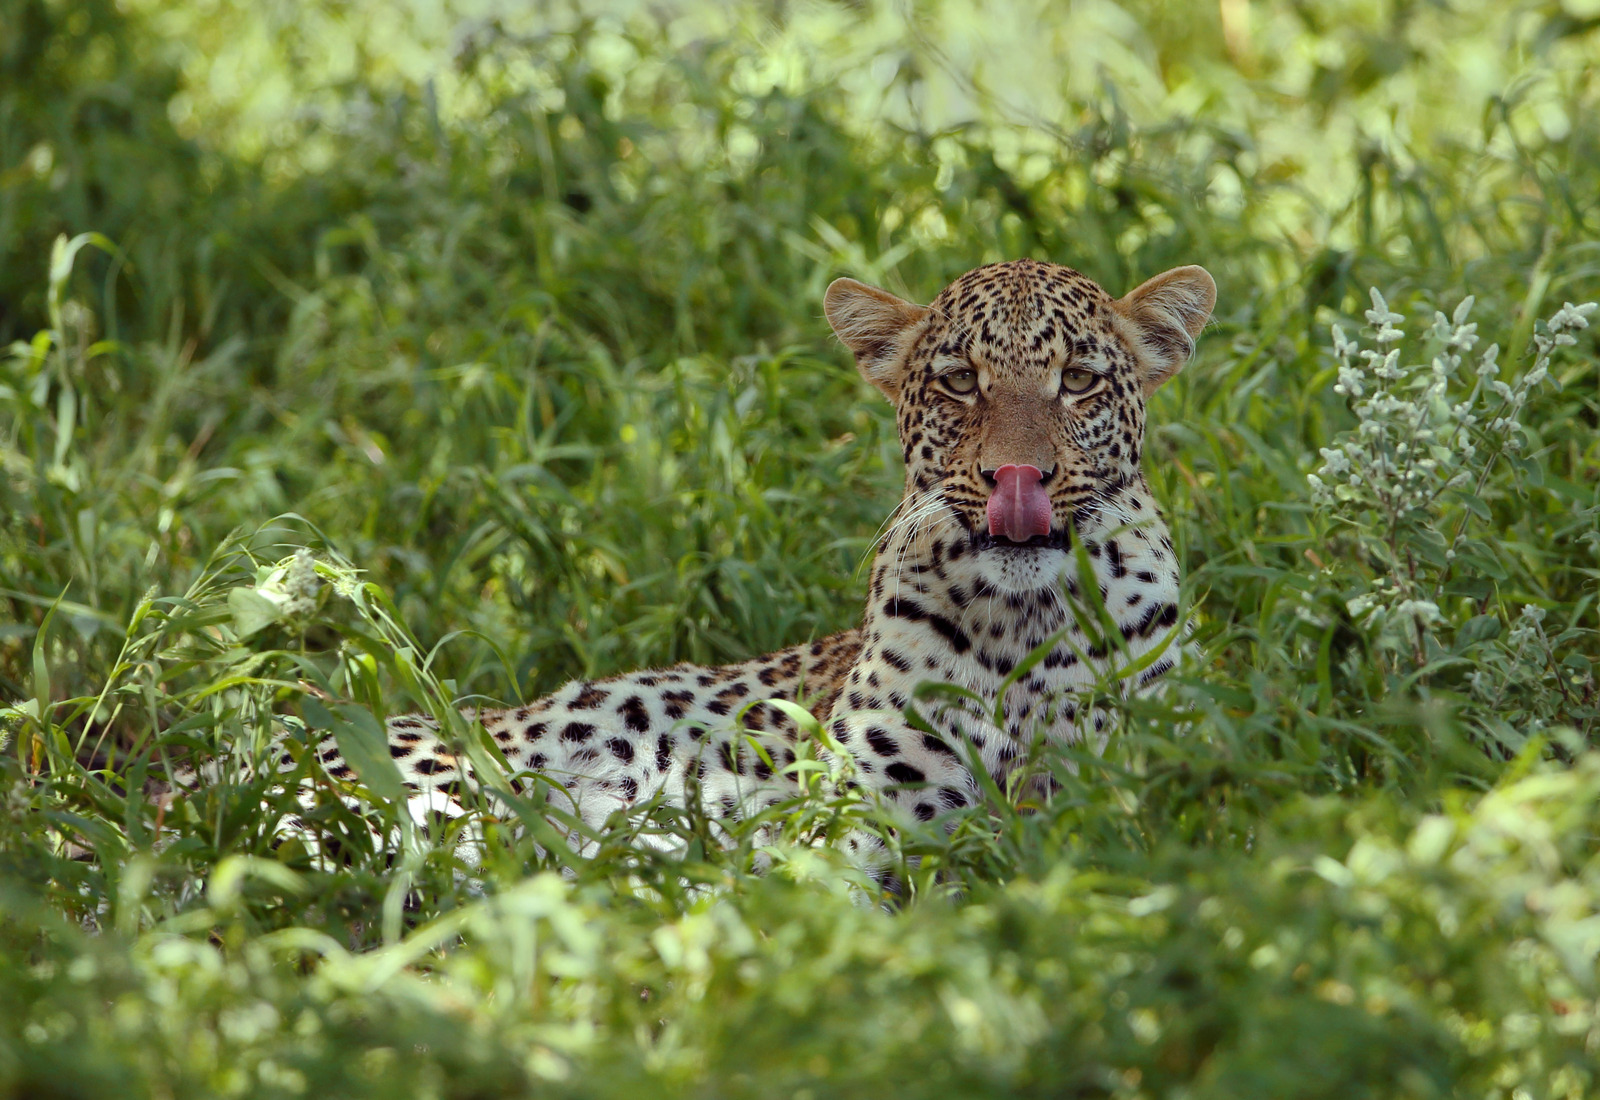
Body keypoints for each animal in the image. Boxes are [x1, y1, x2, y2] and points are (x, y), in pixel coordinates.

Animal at [201, 258, 1214, 868]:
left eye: (1079, 380)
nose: (1016, 477)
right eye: (959, 381)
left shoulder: (1121, 789)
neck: (1018, 627)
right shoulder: (857, 807)